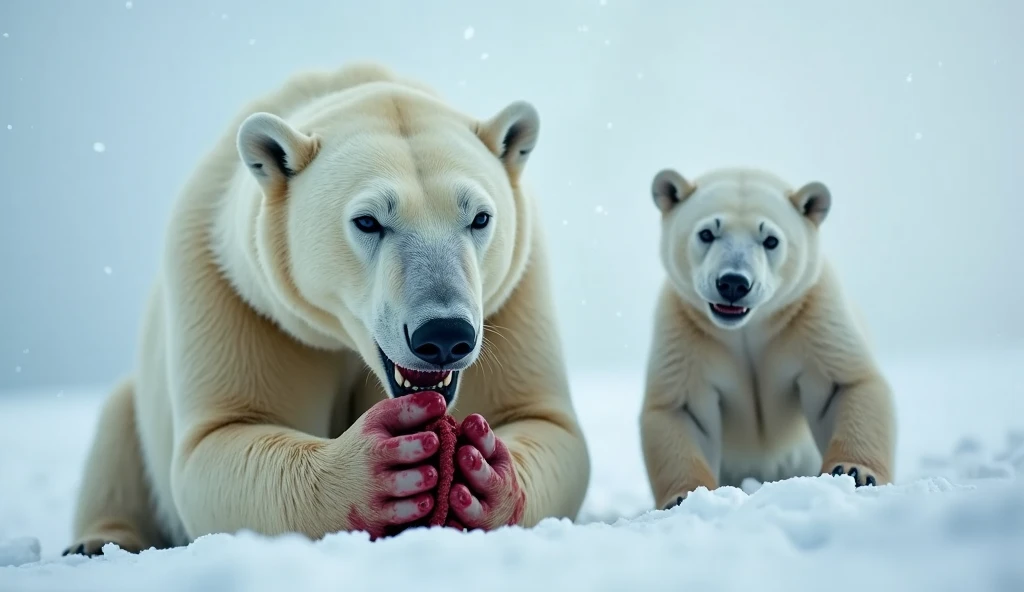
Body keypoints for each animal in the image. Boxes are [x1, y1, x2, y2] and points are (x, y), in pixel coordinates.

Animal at [64, 60, 589, 553]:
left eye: (480, 217)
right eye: (368, 221)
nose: (443, 335)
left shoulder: (514, 290)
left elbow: (542, 418)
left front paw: (484, 476)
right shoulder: (239, 293)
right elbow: (221, 434)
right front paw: (376, 473)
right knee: (116, 429)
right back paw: (97, 542)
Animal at [638, 164, 897, 508]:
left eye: (771, 240)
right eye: (706, 233)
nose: (733, 282)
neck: (746, 328)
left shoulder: (810, 313)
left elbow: (843, 384)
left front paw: (854, 472)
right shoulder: (687, 329)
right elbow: (683, 409)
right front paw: (684, 497)